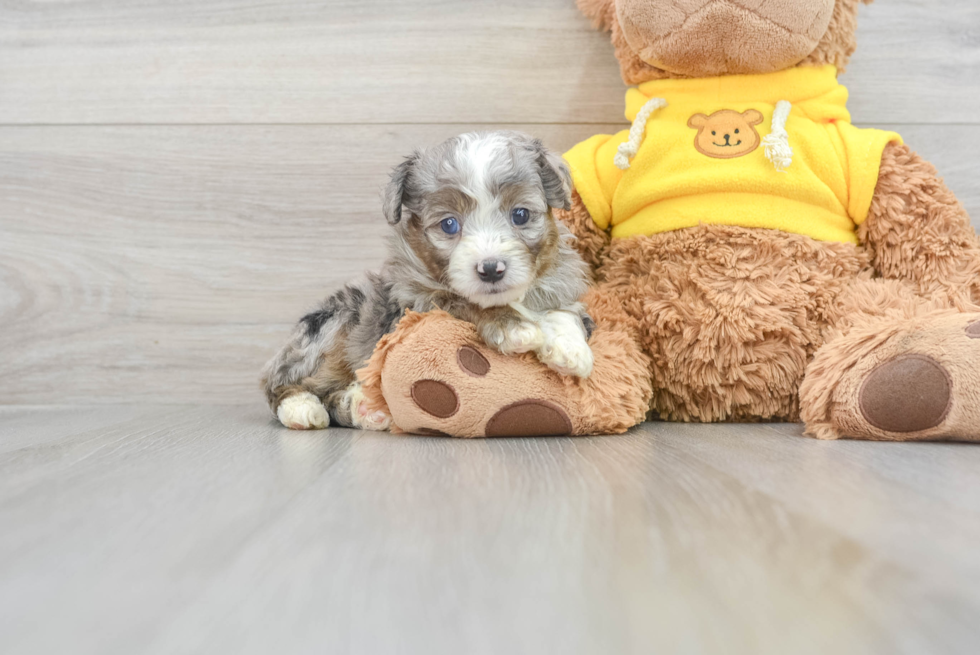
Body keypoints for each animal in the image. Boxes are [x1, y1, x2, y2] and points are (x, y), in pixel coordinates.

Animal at [260, 131, 592, 434]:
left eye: (520, 215)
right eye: (449, 224)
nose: (490, 269)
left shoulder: (559, 282)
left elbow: (563, 310)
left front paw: (570, 348)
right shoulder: (416, 302)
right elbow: (461, 301)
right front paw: (512, 326)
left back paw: (364, 407)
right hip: (331, 325)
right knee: (280, 383)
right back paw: (302, 408)